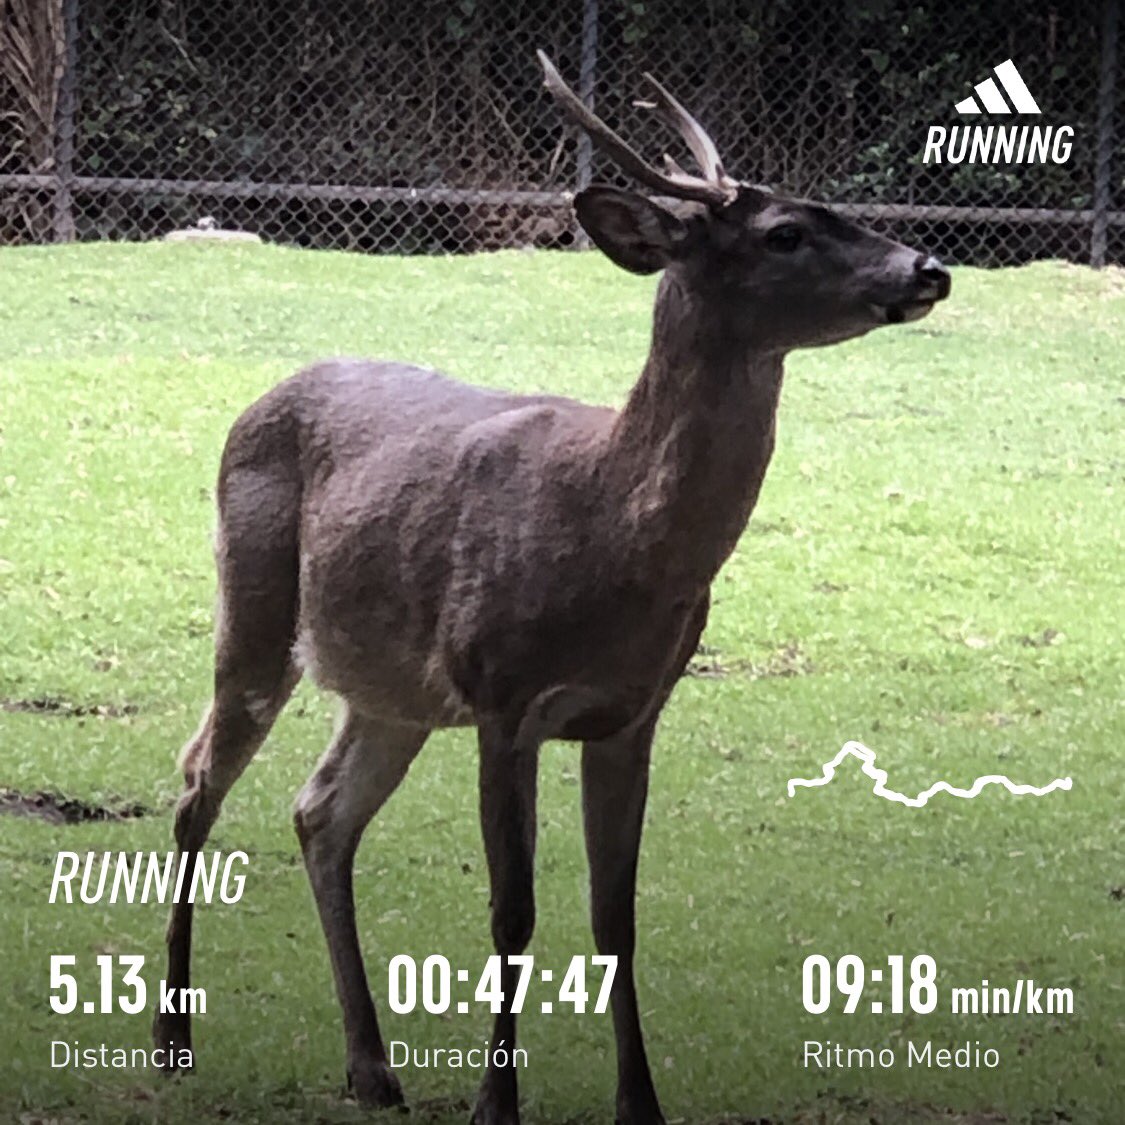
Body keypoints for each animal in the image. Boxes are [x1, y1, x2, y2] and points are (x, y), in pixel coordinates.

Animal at [154, 50, 949, 1125]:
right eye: (783, 232)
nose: (927, 269)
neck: (613, 532)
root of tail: (254, 402)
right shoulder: (503, 695)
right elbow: (512, 909)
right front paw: (497, 1103)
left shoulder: (632, 713)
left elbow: (616, 917)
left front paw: (641, 1103)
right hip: (255, 606)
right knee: (198, 779)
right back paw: (175, 1038)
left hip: (391, 690)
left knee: (320, 811)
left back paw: (372, 1067)